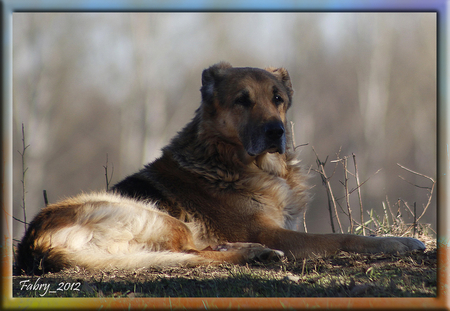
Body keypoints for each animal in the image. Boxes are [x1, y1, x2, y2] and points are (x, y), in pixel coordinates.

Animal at [16, 61, 426, 276]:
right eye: (242, 101)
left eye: (278, 99)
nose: (276, 131)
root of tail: (36, 244)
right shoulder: (278, 234)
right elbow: (343, 237)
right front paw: (397, 241)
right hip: (158, 217)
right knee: (190, 253)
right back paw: (254, 253)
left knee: (194, 250)